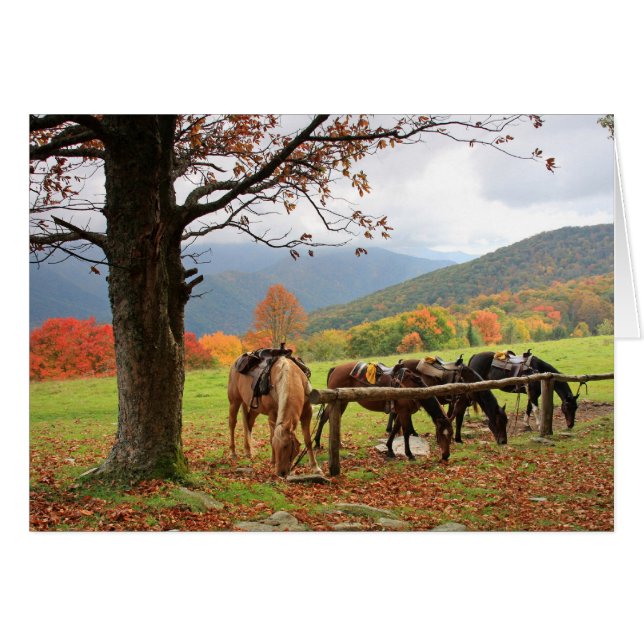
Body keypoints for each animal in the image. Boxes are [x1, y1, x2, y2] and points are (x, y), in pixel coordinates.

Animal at [312, 361, 453, 462]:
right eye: (441, 435)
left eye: (451, 434)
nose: (446, 456)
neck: (412, 387)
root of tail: (335, 368)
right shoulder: (404, 412)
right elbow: (406, 432)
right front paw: (409, 454)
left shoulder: (401, 412)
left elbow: (395, 429)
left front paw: (390, 449)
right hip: (337, 402)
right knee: (325, 418)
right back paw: (318, 443)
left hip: (342, 402)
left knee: (328, 418)